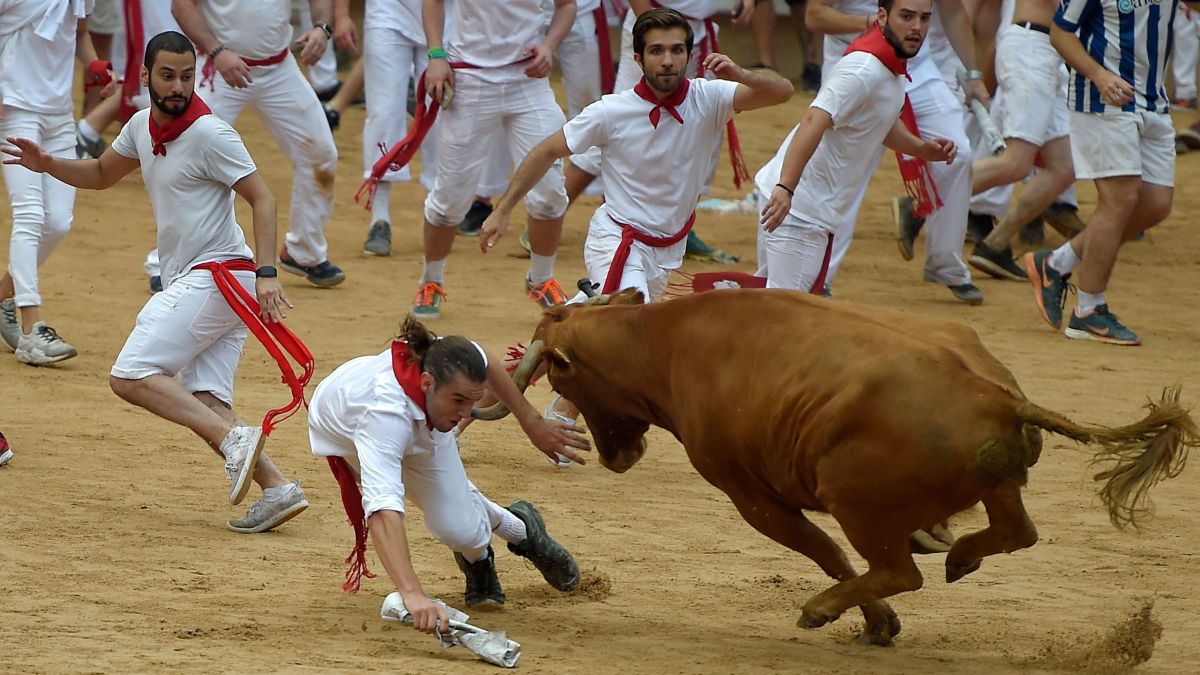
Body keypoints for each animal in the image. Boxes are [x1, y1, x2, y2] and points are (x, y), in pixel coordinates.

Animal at [477, 285, 1190, 643]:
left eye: (566, 379)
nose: (617, 455)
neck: (666, 343)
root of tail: (999, 395)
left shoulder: (749, 494)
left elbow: (823, 551)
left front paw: (871, 621)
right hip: (998, 485)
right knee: (1017, 530)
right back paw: (959, 555)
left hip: (856, 499)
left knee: (898, 570)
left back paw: (828, 608)